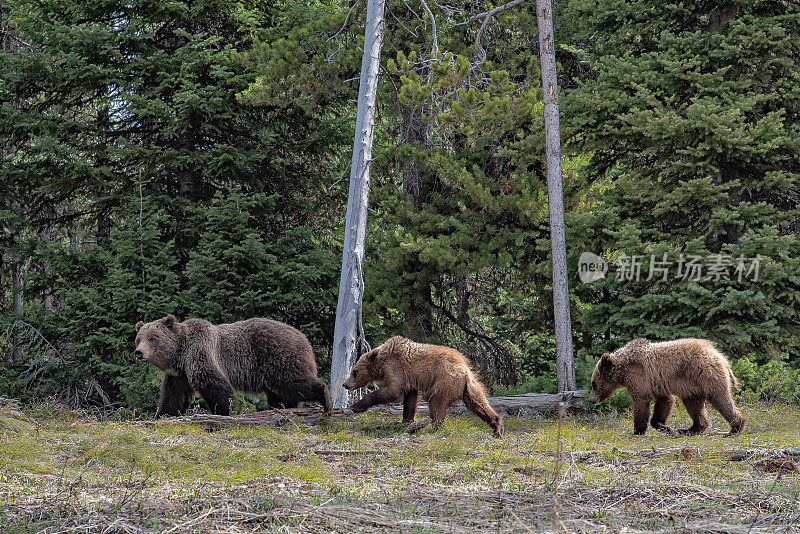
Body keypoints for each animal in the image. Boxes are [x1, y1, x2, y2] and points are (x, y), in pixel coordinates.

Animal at [134, 316, 332, 420]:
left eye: (152, 338)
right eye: (138, 338)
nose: (139, 352)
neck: (180, 354)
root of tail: (304, 338)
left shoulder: (202, 354)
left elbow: (216, 386)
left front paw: (223, 413)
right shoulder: (179, 374)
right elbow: (174, 396)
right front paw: (163, 415)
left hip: (278, 357)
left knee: (292, 383)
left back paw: (326, 399)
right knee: (282, 395)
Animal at [340, 338, 504, 438]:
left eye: (354, 372)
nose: (345, 384)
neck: (382, 361)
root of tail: (464, 370)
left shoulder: (396, 368)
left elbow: (392, 391)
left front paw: (357, 406)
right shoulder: (409, 378)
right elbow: (410, 400)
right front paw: (406, 420)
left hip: (444, 380)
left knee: (435, 401)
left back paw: (433, 427)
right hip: (469, 387)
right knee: (479, 403)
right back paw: (497, 427)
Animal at [592, 342, 748, 438]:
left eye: (593, 384)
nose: (591, 399)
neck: (623, 370)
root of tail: (722, 357)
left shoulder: (640, 378)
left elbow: (641, 403)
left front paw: (638, 430)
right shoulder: (659, 384)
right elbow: (664, 402)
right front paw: (665, 427)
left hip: (706, 376)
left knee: (721, 399)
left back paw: (735, 427)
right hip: (692, 388)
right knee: (694, 407)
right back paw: (689, 429)